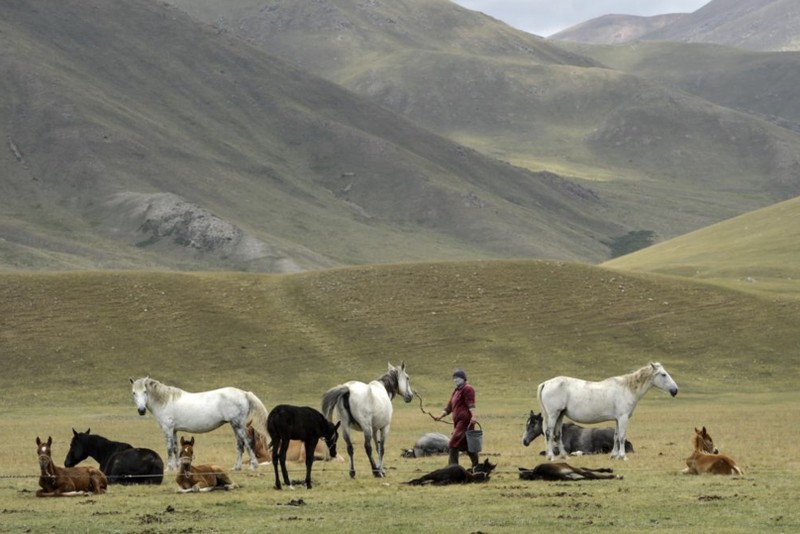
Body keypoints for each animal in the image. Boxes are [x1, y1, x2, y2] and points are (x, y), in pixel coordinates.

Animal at [130, 376, 268, 474]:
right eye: (134, 393)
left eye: (145, 391)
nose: (141, 410)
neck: (165, 401)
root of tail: (244, 393)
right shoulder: (174, 430)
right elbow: (175, 448)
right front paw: (178, 467)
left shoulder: (167, 429)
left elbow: (169, 448)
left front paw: (169, 468)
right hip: (235, 426)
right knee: (240, 445)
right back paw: (236, 467)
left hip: (238, 425)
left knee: (248, 442)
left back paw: (253, 465)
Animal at [536, 362, 676, 462]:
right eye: (663, 374)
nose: (675, 390)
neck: (626, 389)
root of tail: (546, 383)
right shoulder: (623, 418)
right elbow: (622, 436)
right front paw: (623, 456)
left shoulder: (617, 419)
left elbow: (616, 436)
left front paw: (614, 456)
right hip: (553, 415)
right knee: (549, 433)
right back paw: (551, 457)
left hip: (560, 415)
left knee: (557, 434)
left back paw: (564, 456)